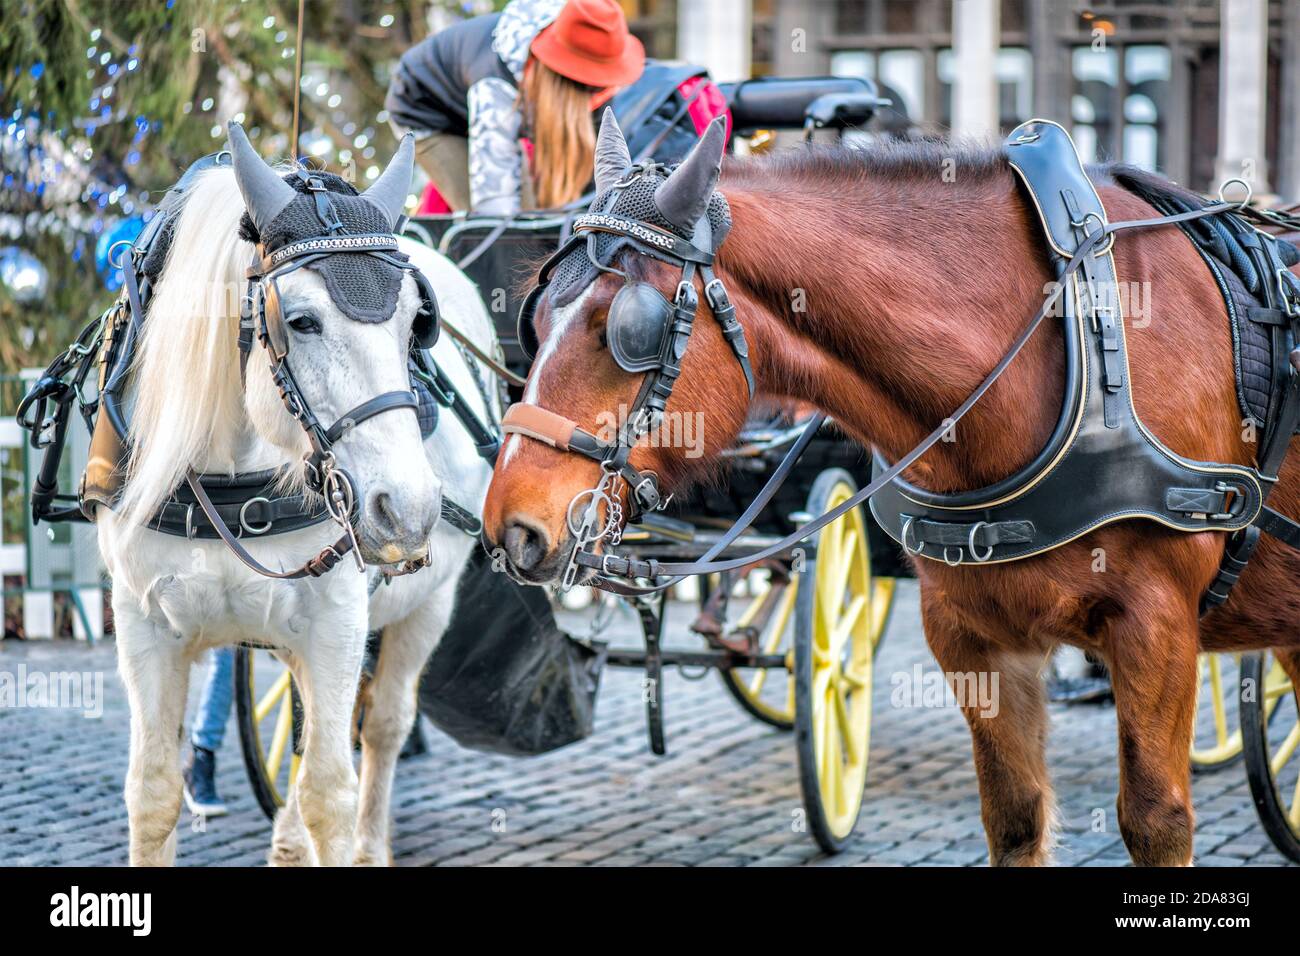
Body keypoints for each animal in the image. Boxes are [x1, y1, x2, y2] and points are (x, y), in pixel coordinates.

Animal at [98, 136, 493, 868]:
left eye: (415, 325)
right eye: (301, 321)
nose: (410, 508)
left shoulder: (336, 621)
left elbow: (329, 794)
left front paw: (339, 834)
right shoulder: (142, 624)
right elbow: (153, 792)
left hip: (428, 603)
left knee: (384, 725)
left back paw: (368, 843)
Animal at [483, 117, 1300, 868]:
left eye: (622, 329)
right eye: (535, 314)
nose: (509, 527)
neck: (1065, 330)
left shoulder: (1156, 629)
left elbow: (1157, 822)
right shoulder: (973, 636)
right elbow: (1015, 819)